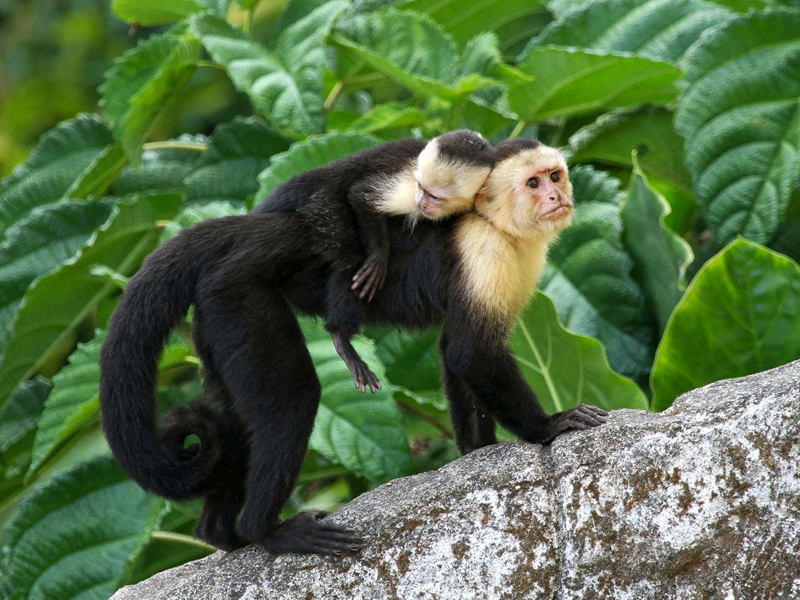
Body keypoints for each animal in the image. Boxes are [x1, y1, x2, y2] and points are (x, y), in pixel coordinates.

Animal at [260, 131, 494, 394]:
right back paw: (341, 336)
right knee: (348, 255)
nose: (422, 204)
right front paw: (379, 257)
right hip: (323, 204)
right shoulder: (407, 184)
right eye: (421, 188)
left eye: (435, 196)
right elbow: (361, 195)